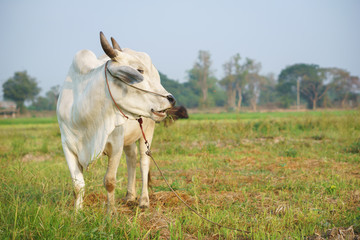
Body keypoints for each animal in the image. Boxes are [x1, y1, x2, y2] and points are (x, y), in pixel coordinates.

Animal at [56, 32, 176, 212]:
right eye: (139, 70)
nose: (170, 98)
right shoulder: (68, 145)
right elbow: (78, 185)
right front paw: (77, 212)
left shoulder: (116, 144)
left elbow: (109, 181)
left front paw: (111, 212)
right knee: (132, 158)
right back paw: (129, 196)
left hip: (148, 129)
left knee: (144, 161)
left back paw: (143, 200)